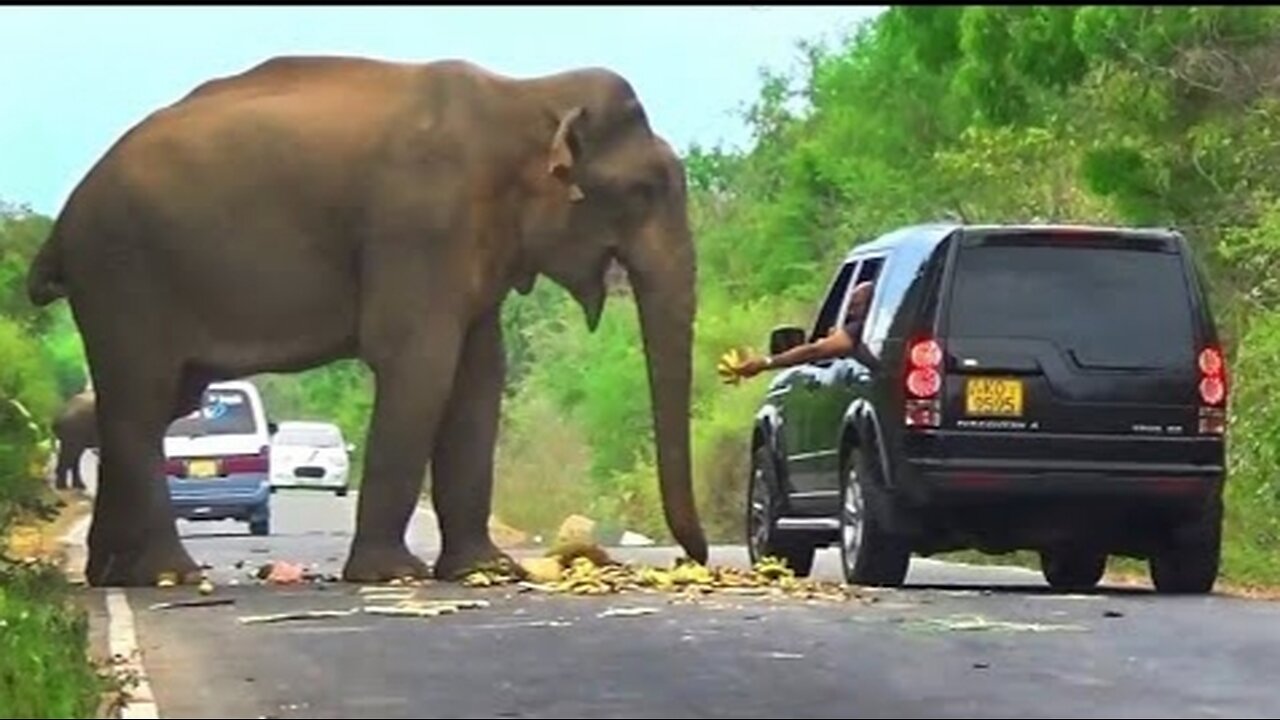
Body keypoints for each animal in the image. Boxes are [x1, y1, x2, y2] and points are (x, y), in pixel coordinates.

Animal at [25, 55, 707, 587]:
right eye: (644, 191)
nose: (691, 559)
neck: (527, 95)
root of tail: (64, 221)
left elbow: (479, 379)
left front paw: (487, 571)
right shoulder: (419, 226)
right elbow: (420, 365)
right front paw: (392, 576)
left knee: (154, 404)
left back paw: (114, 575)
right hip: (123, 274)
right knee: (141, 406)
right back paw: (174, 575)